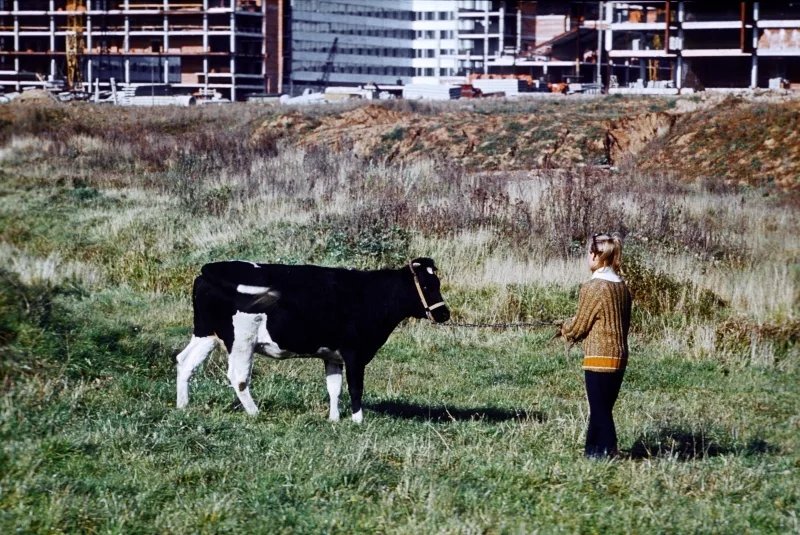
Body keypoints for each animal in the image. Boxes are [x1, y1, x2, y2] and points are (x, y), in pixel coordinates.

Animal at [174, 258, 446, 422]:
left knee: (185, 361)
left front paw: (334, 419)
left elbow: (334, 387)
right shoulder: (355, 353)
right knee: (238, 377)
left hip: (206, 333)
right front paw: (357, 421)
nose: (445, 314)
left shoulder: (332, 354)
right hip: (242, 340)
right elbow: (355, 387)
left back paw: (182, 405)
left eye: (438, 283)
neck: (369, 295)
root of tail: (212, 267)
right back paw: (254, 412)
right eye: (428, 285)